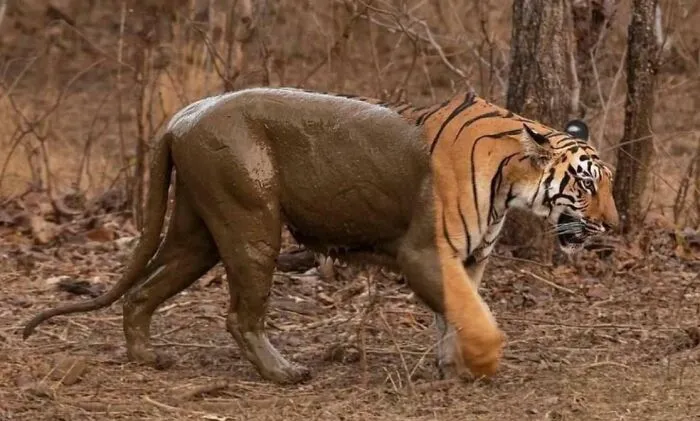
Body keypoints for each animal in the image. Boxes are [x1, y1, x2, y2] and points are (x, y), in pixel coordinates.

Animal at [22, 87, 619, 385]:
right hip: (252, 224)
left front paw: (453, 367)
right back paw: (285, 373)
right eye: (588, 184)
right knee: (239, 315)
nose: (615, 226)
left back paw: (148, 358)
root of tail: (180, 116)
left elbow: (458, 313)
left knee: (143, 291)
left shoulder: (469, 259)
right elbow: (476, 316)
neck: (510, 184)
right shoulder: (426, 253)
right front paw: (484, 364)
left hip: (199, 235)